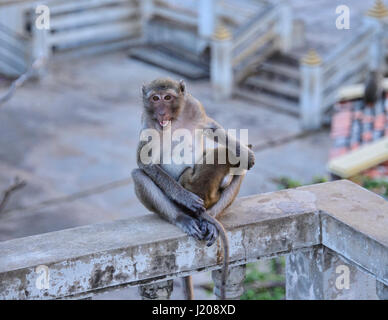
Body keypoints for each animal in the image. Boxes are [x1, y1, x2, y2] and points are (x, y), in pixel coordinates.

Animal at [133, 78, 255, 300]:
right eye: (155, 98)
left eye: (167, 97)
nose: (161, 112)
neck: (174, 120)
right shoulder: (147, 120)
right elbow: (144, 162)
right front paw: (185, 197)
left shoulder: (194, 106)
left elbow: (211, 126)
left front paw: (246, 153)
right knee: (138, 175)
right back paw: (183, 218)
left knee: (238, 172)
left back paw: (212, 220)